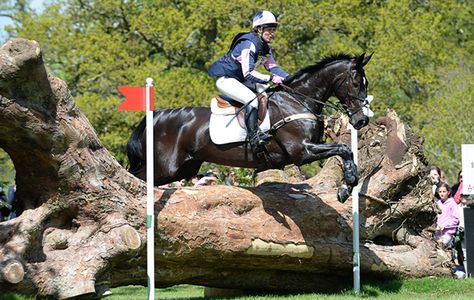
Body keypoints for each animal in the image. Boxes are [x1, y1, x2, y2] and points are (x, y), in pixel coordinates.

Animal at [128, 52, 372, 200]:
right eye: (356, 82)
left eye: (365, 83)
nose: (362, 121)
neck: (297, 99)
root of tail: (156, 116)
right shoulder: (302, 151)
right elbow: (343, 149)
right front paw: (347, 185)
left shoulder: (313, 145)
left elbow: (345, 151)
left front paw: (348, 186)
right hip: (166, 167)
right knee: (135, 176)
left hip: (185, 167)